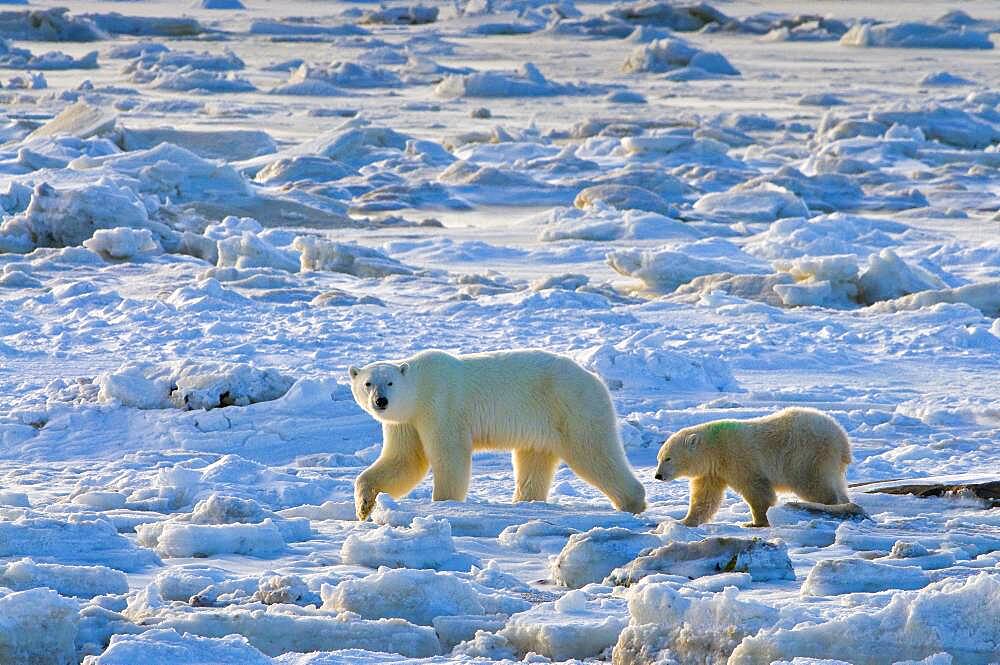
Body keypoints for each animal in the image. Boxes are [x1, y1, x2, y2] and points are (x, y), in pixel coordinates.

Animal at [352, 348, 648, 520]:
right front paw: (364, 506)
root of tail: (595, 379)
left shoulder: (440, 405)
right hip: (541, 426)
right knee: (533, 462)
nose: (381, 401)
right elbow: (404, 461)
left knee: (594, 452)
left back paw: (632, 503)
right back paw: (526, 503)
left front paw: (445, 503)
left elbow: (449, 455)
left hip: (572, 407)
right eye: (368, 383)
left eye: (390, 382)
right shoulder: (405, 421)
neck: (420, 386)